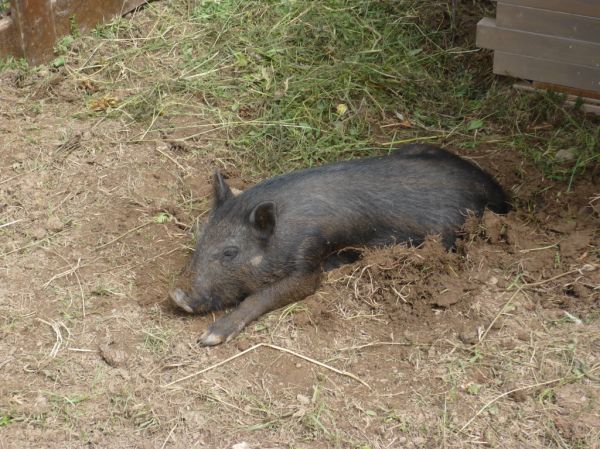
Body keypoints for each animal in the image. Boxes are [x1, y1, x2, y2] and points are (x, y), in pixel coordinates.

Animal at [171, 144, 508, 344]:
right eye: (201, 238)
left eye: (231, 251)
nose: (177, 295)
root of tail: (496, 189)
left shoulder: (307, 258)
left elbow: (267, 295)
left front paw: (209, 338)